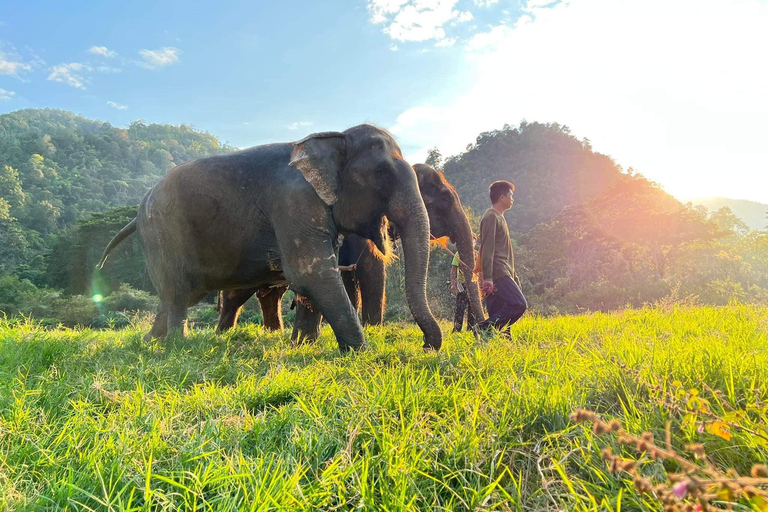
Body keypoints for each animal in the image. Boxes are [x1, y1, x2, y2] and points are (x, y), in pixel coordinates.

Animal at [99, 125, 440, 352]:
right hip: (163, 233)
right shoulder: (293, 204)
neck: (333, 136)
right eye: (381, 174)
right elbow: (311, 274)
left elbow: (315, 278)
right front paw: (361, 354)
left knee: (181, 293)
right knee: (177, 291)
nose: (426, 347)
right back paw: (176, 345)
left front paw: (303, 348)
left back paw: (150, 341)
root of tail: (138, 212)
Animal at [216, 165, 484, 340]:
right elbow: (371, 269)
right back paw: (222, 335)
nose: (482, 330)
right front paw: (373, 328)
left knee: (271, 294)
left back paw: (272, 333)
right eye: (445, 199)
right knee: (236, 294)